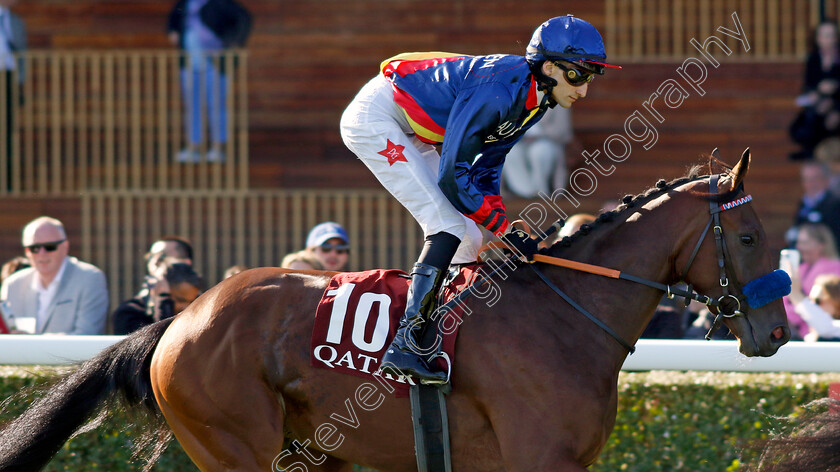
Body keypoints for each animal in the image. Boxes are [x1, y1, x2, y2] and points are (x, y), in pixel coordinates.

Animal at [0, 148, 792, 472]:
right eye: (751, 236)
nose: (778, 332)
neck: (566, 315)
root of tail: (177, 321)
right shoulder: (542, 458)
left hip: (313, 454)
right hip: (234, 443)